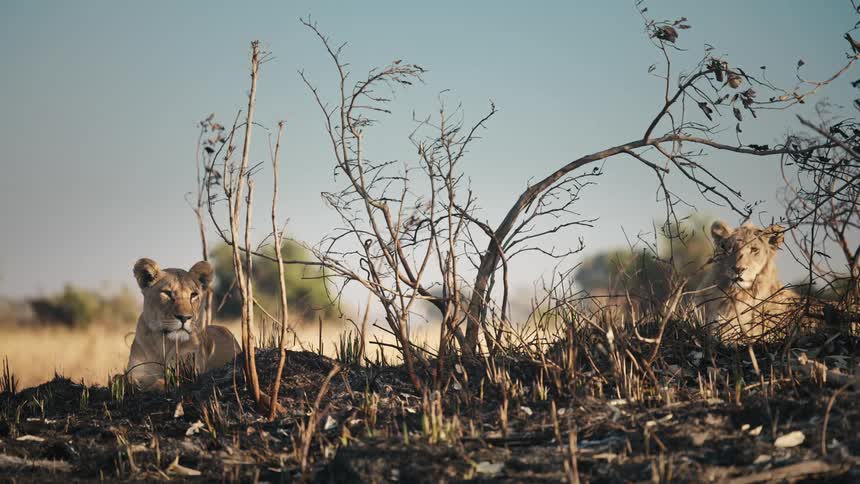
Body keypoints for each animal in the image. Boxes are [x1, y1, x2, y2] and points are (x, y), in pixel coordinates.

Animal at [126, 258, 240, 390]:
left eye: (193, 295)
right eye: (167, 293)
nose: (184, 317)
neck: (162, 343)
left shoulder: (188, 371)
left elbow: (161, 381)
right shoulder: (136, 371)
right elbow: (123, 379)